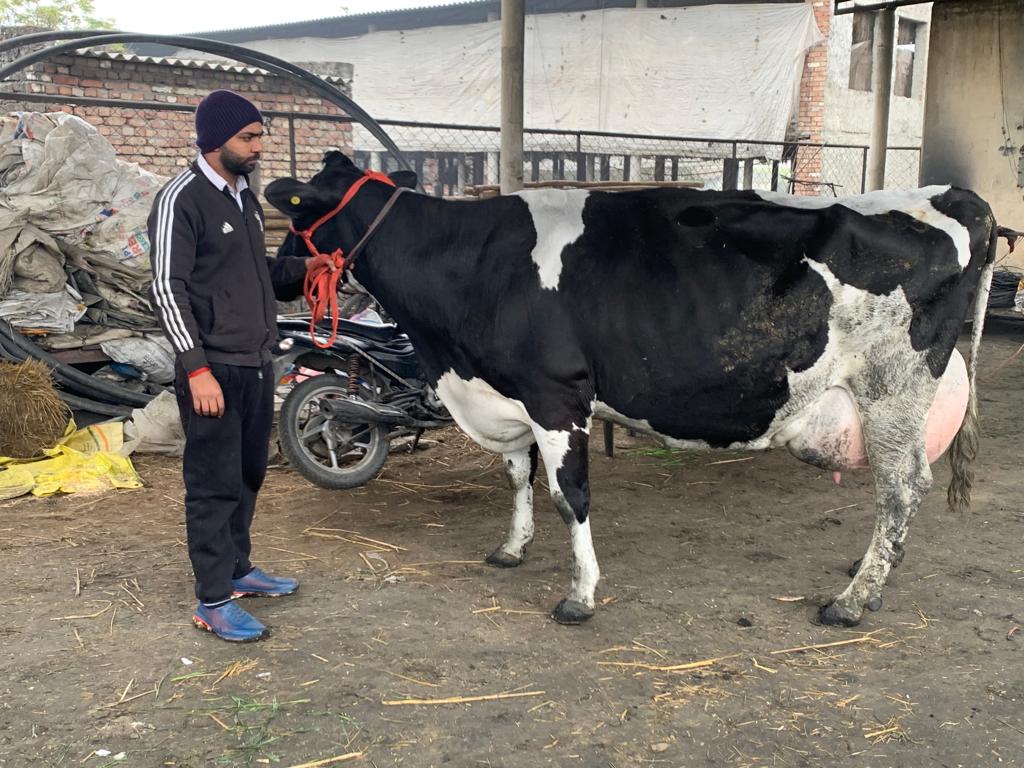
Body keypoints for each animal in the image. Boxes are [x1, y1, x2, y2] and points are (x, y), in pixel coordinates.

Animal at [268, 151, 995, 630]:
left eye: (296, 216)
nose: (276, 277)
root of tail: (958, 197)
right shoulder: (510, 396)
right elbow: (516, 476)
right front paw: (511, 548)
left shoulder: (557, 394)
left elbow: (569, 495)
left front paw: (579, 595)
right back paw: (869, 577)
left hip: (892, 388)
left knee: (900, 489)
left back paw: (852, 601)